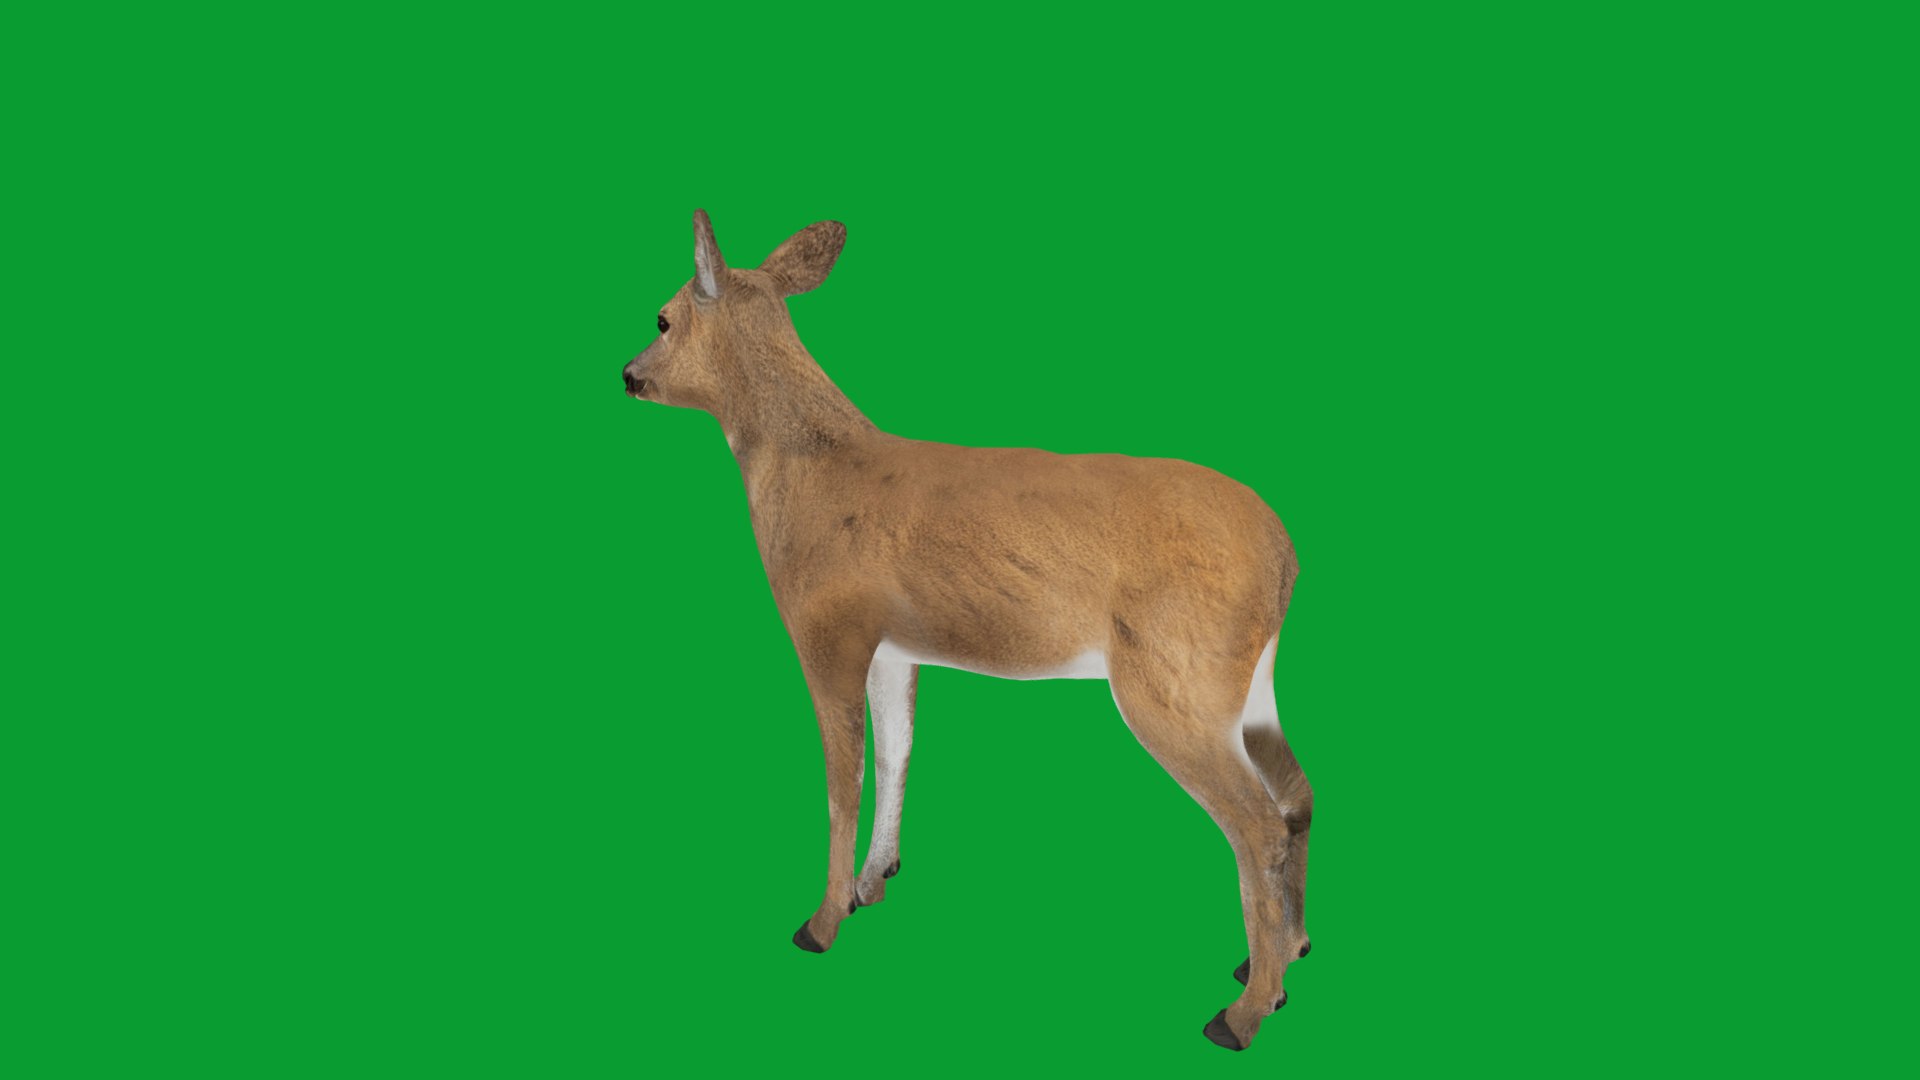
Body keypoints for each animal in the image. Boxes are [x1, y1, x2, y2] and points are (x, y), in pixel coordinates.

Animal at [622, 210, 1312, 1051]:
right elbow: (897, 754)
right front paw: (872, 882)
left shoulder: (828, 627)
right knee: (1297, 796)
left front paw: (821, 921)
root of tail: (1285, 558)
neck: (810, 469)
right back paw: (1279, 963)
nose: (627, 373)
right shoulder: (894, 646)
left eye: (661, 317)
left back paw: (1241, 1013)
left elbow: (843, 780)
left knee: (1259, 824)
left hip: (1173, 677)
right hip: (1244, 685)